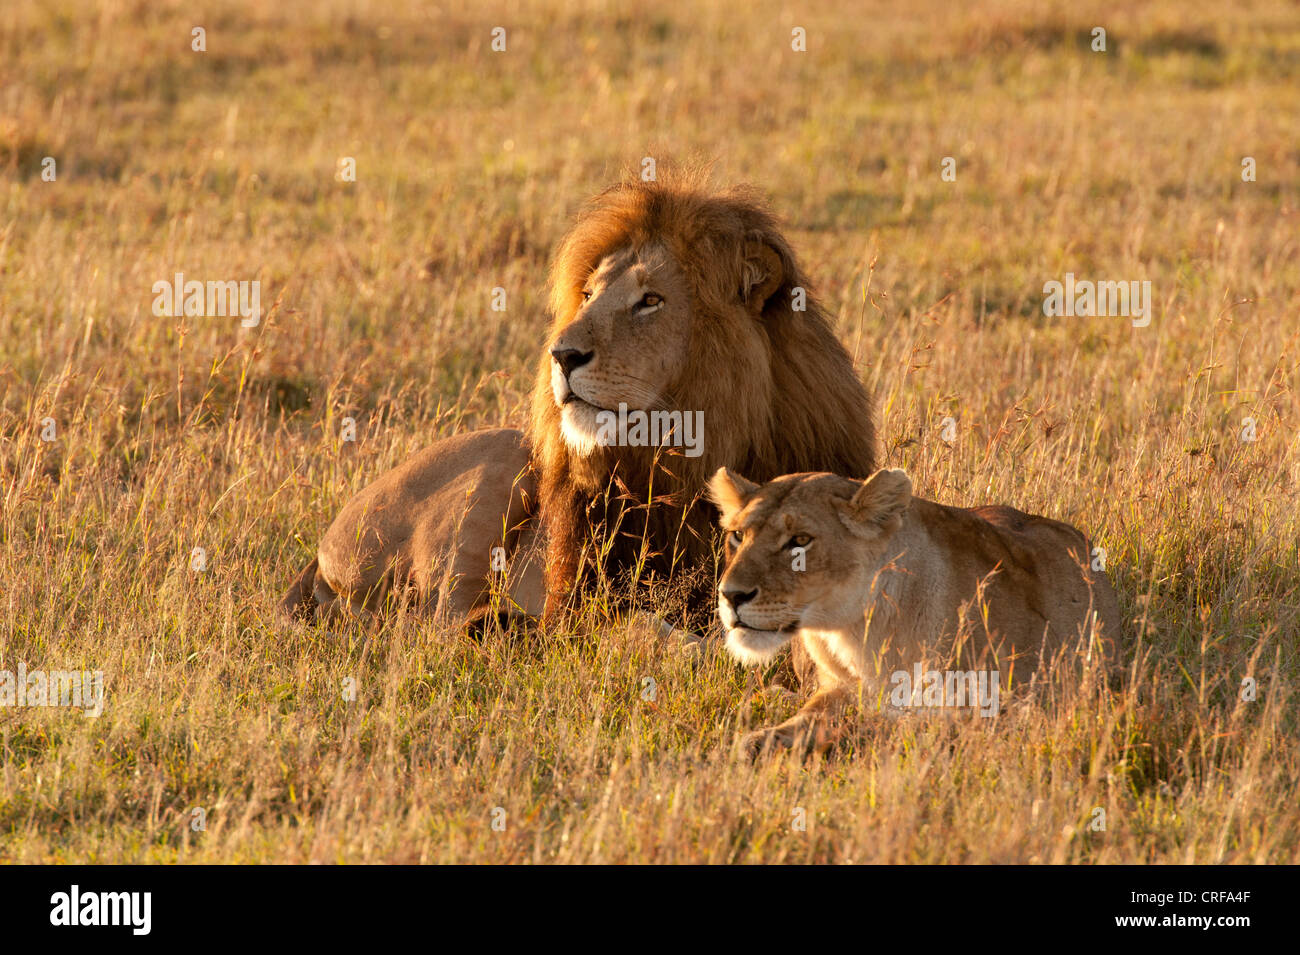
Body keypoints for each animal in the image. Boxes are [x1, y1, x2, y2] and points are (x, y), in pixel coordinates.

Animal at [707, 467, 1123, 758]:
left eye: (801, 541)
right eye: (738, 536)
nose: (730, 595)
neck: (852, 631)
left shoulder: (1000, 711)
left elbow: (887, 728)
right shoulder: (838, 686)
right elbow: (808, 719)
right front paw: (755, 743)